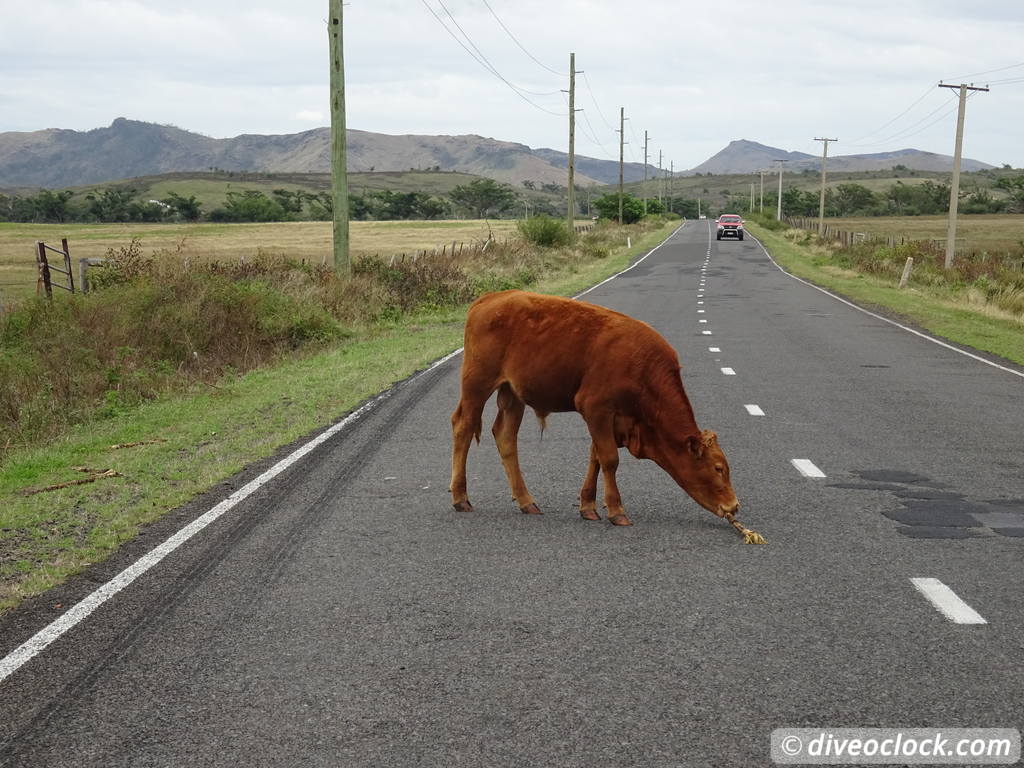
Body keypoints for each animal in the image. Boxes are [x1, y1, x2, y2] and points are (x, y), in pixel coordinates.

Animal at [448, 290, 737, 528]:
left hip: (513, 394)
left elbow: (595, 457)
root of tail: (492, 297)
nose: (734, 506)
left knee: (506, 436)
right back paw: (460, 497)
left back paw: (526, 501)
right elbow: (609, 459)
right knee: (463, 426)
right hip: (477, 384)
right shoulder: (595, 407)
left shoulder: (613, 420)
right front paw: (617, 511)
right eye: (718, 468)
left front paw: (588, 506)